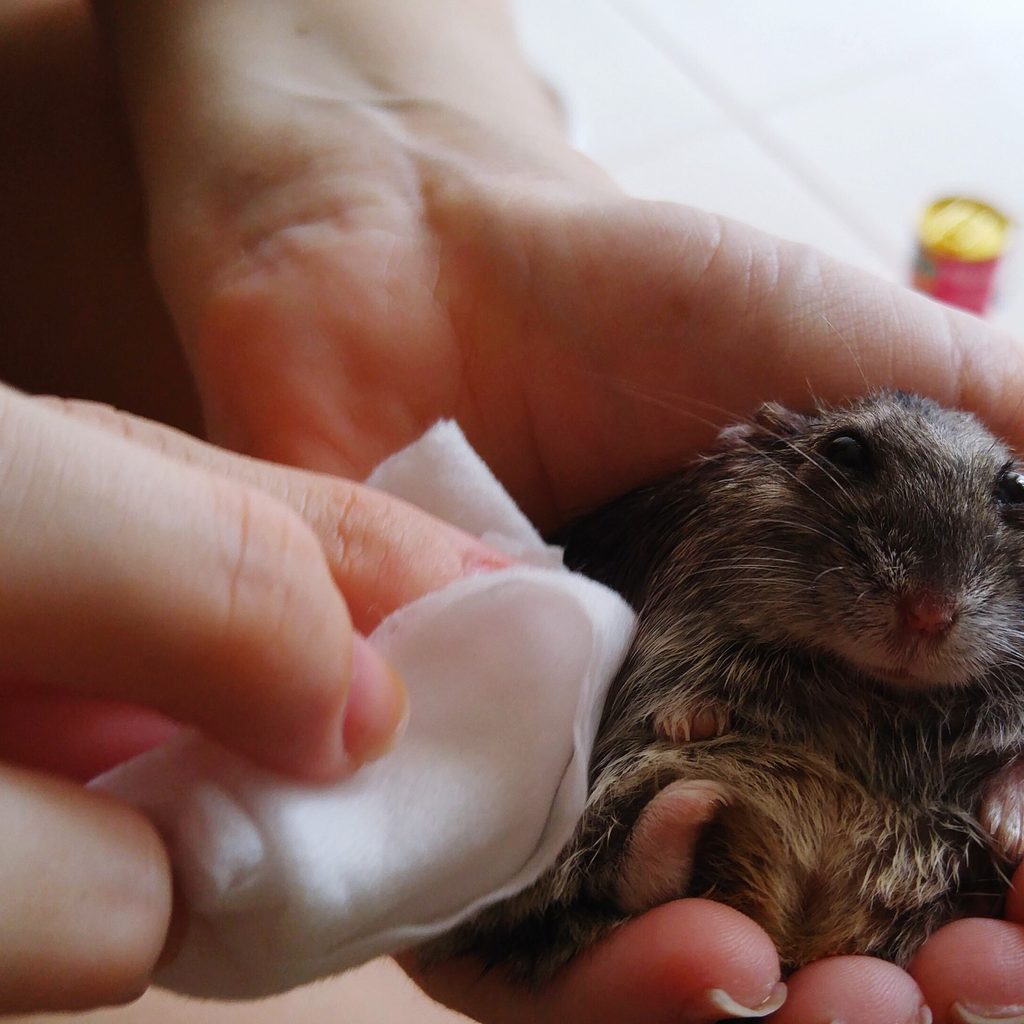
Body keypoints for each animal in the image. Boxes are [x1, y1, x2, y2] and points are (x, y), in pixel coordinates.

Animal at [420, 391, 1024, 982]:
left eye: (1014, 488)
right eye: (846, 451)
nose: (927, 614)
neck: (877, 690)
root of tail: (797, 927)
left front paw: (1010, 827)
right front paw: (692, 721)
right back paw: (691, 802)